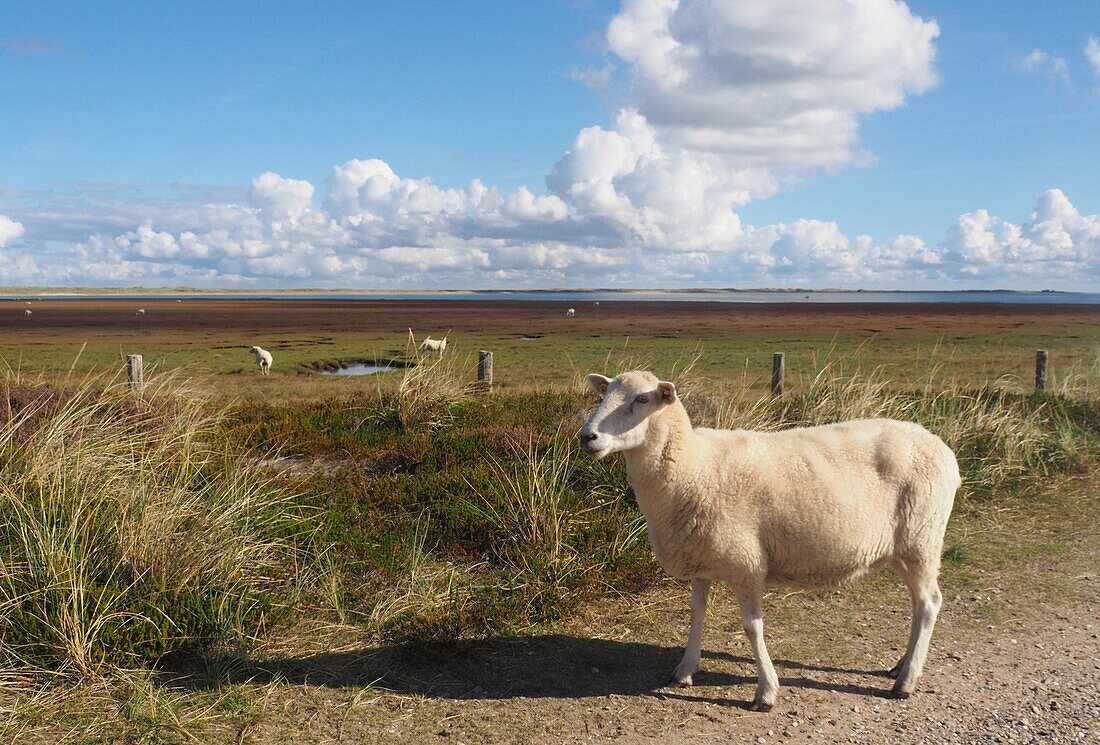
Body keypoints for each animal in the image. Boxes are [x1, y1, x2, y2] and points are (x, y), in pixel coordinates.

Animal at [580, 371, 959, 708]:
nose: (587, 436)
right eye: (604, 394)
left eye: (642, 399)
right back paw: (901, 666)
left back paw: (906, 681)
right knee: (918, 604)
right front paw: (685, 669)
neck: (693, 465)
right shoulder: (702, 560)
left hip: (921, 538)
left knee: (929, 603)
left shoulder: (746, 563)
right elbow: (697, 613)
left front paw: (766, 691)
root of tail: (940, 446)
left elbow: (752, 627)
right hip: (905, 547)